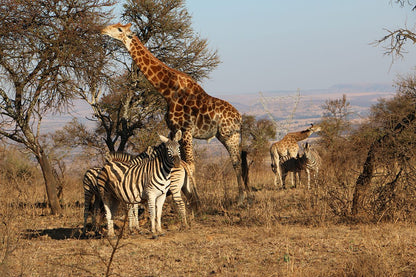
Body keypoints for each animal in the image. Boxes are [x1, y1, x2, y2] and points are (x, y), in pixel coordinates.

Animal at [101, 22, 250, 201]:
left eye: (119, 29)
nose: (102, 30)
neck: (168, 91)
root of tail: (239, 118)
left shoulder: (186, 130)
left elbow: (190, 165)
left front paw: (194, 197)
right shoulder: (173, 129)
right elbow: (174, 160)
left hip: (229, 135)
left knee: (236, 161)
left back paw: (241, 198)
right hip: (226, 136)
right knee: (240, 159)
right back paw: (244, 195)